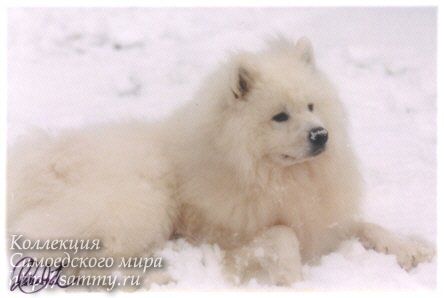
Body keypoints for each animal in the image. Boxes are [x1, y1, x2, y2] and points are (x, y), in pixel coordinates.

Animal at [7, 36, 434, 286]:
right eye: (280, 116)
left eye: (312, 106)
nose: (320, 135)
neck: (274, 177)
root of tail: (36, 165)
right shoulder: (224, 239)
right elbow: (283, 235)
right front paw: (289, 277)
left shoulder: (321, 222)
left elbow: (365, 224)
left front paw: (412, 249)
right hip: (138, 203)